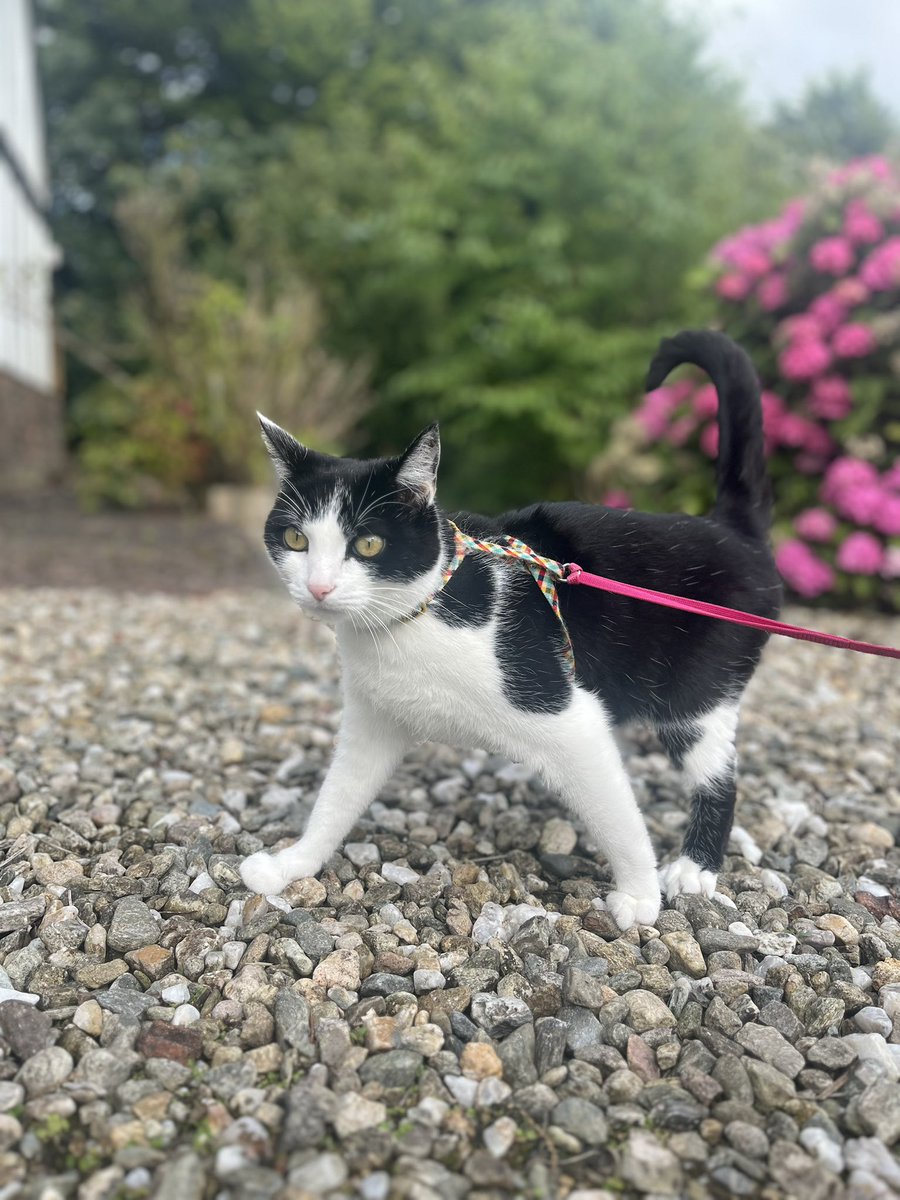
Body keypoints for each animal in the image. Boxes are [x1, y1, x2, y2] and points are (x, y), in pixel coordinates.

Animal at [240, 333, 782, 931]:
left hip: (695, 696)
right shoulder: (374, 718)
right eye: (295, 539)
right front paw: (293, 863)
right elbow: (337, 796)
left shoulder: (567, 714)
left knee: (719, 776)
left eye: (369, 545)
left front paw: (640, 895)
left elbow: (618, 816)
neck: (415, 616)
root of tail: (731, 532)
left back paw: (694, 868)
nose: (319, 587)